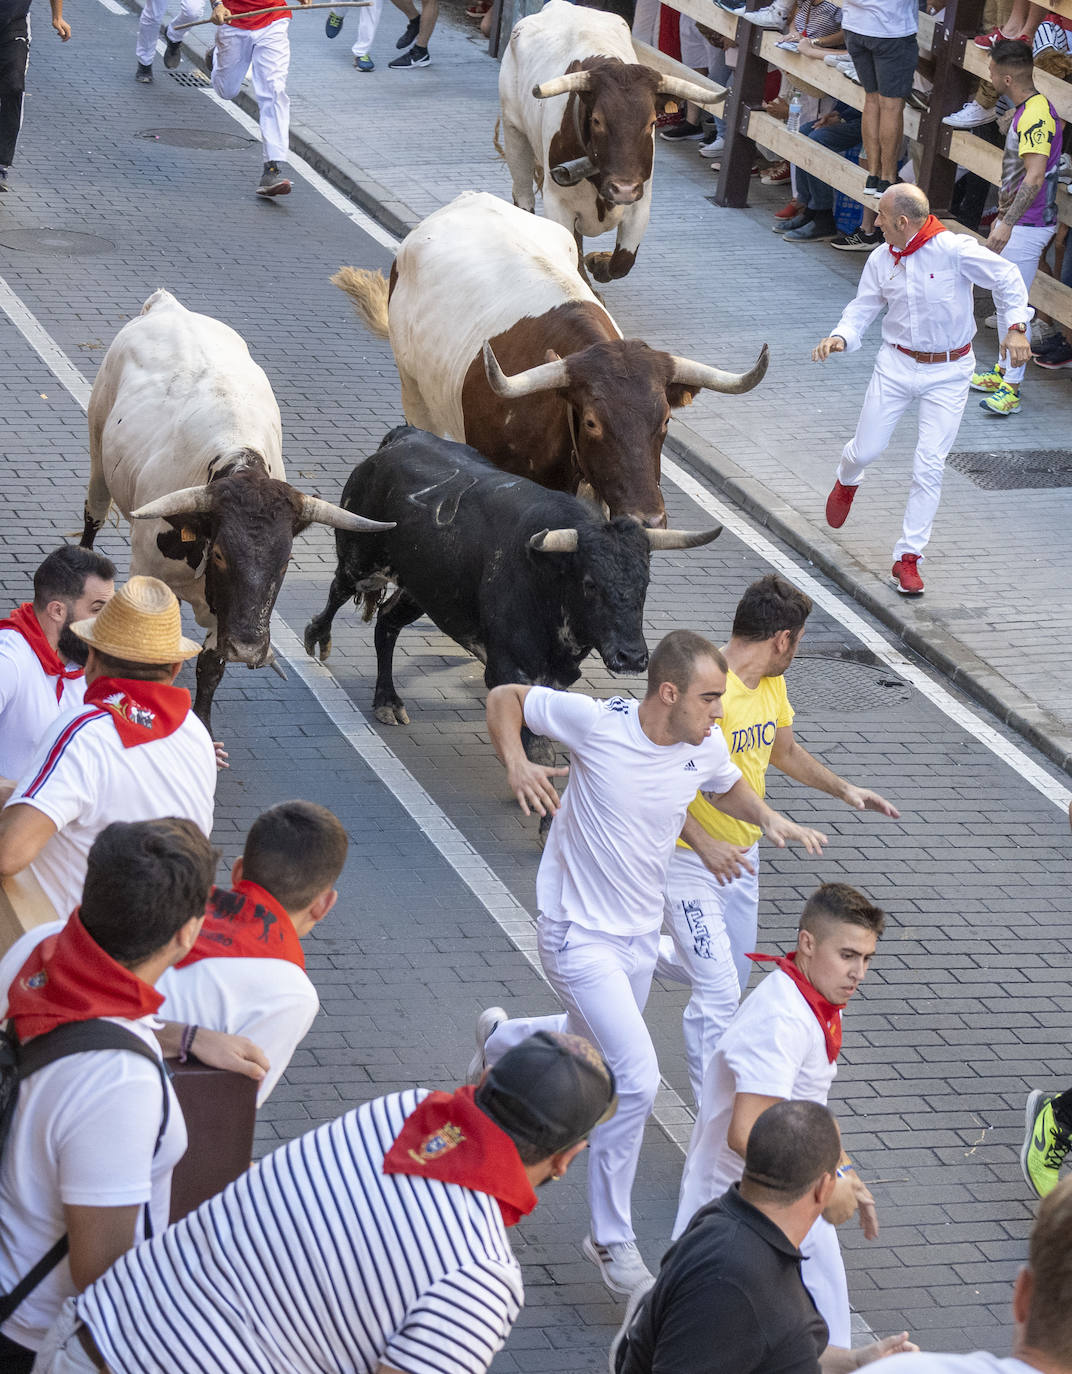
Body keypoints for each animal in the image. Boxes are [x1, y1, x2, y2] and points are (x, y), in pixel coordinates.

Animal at [79, 284, 390, 725]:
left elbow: (211, 666)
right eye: (222, 554)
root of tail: (169, 305)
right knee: (93, 514)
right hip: (97, 449)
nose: (249, 648)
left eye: (285, 560)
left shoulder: (223, 618)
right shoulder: (147, 573)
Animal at [300, 425, 720, 763]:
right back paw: (318, 638)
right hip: (362, 557)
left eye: (645, 583)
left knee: (387, 622)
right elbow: (534, 741)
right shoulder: (508, 667)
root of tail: (402, 437)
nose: (631, 656)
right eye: (590, 584)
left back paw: (388, 700)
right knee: (339, 590)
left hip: (425, 589)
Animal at [497, 0, 725, 281]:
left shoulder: (640, 205)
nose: (623, 189)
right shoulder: (557, 204)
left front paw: (599, 262)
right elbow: (572, 252)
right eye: (597, 120)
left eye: (652, 122)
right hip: (514, 132)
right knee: (523, 197)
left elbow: (622, 262)